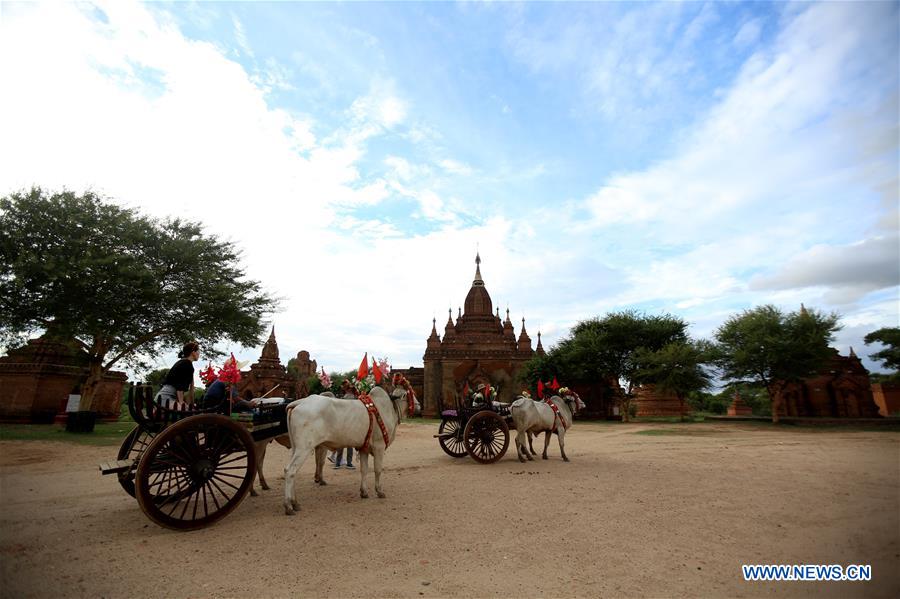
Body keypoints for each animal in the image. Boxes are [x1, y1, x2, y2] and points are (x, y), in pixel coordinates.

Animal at [284, 382, 420, 512]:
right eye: (411, 392)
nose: (419, 405)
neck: (388, 409)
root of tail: (300, 402)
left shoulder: (364, 448)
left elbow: (364, 470)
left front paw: (364, 492)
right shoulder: (379, 447)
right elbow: (378, 470)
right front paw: (379, 491)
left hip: (296, 448)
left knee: (292, 472)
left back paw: (295, 503)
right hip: (304, 448)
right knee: (290, 471)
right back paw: (289, 506)